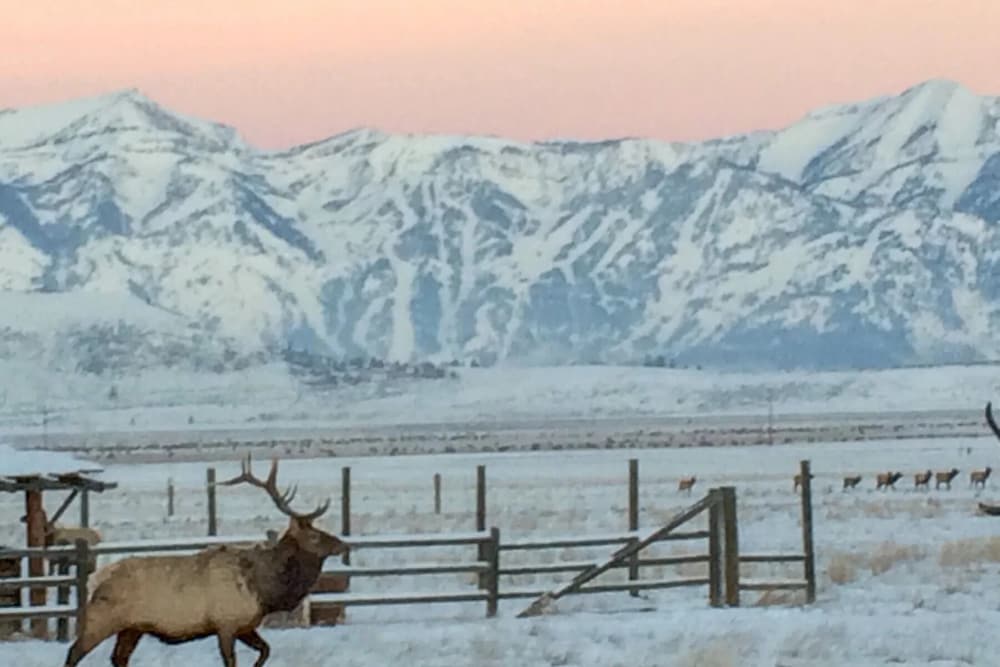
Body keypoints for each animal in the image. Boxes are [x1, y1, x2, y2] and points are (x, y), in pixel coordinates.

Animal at [63, 455, 348, 667]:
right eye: (315, 535)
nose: (344, 544)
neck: (263, 589)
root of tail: (94, 580)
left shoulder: (246, 625)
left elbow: (266, 651)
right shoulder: (226, 624)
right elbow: (233, 661)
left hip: (132, 627)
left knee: (119, 658)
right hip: (103, 618)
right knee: (74, 652)